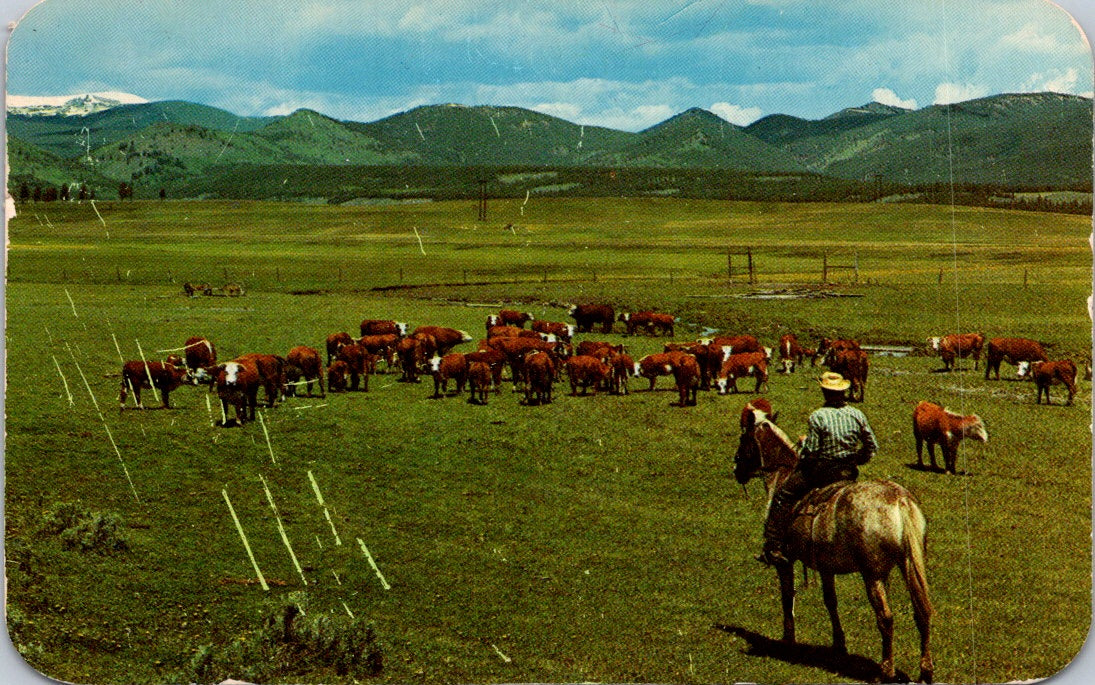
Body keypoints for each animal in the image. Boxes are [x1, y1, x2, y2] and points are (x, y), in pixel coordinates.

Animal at [735, 402, 932, 678]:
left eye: (744, 439)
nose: (736, 470)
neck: (782, 475)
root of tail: (899, 499)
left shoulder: (785, 562)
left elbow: (787, 597)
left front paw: (788, 641)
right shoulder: (825, 566)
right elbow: (831, 601)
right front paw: (839, 644)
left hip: (873, 575)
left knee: (885, 617)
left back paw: (885, 669)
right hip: (908, 565)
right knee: (921, 611)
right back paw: (925, 671)